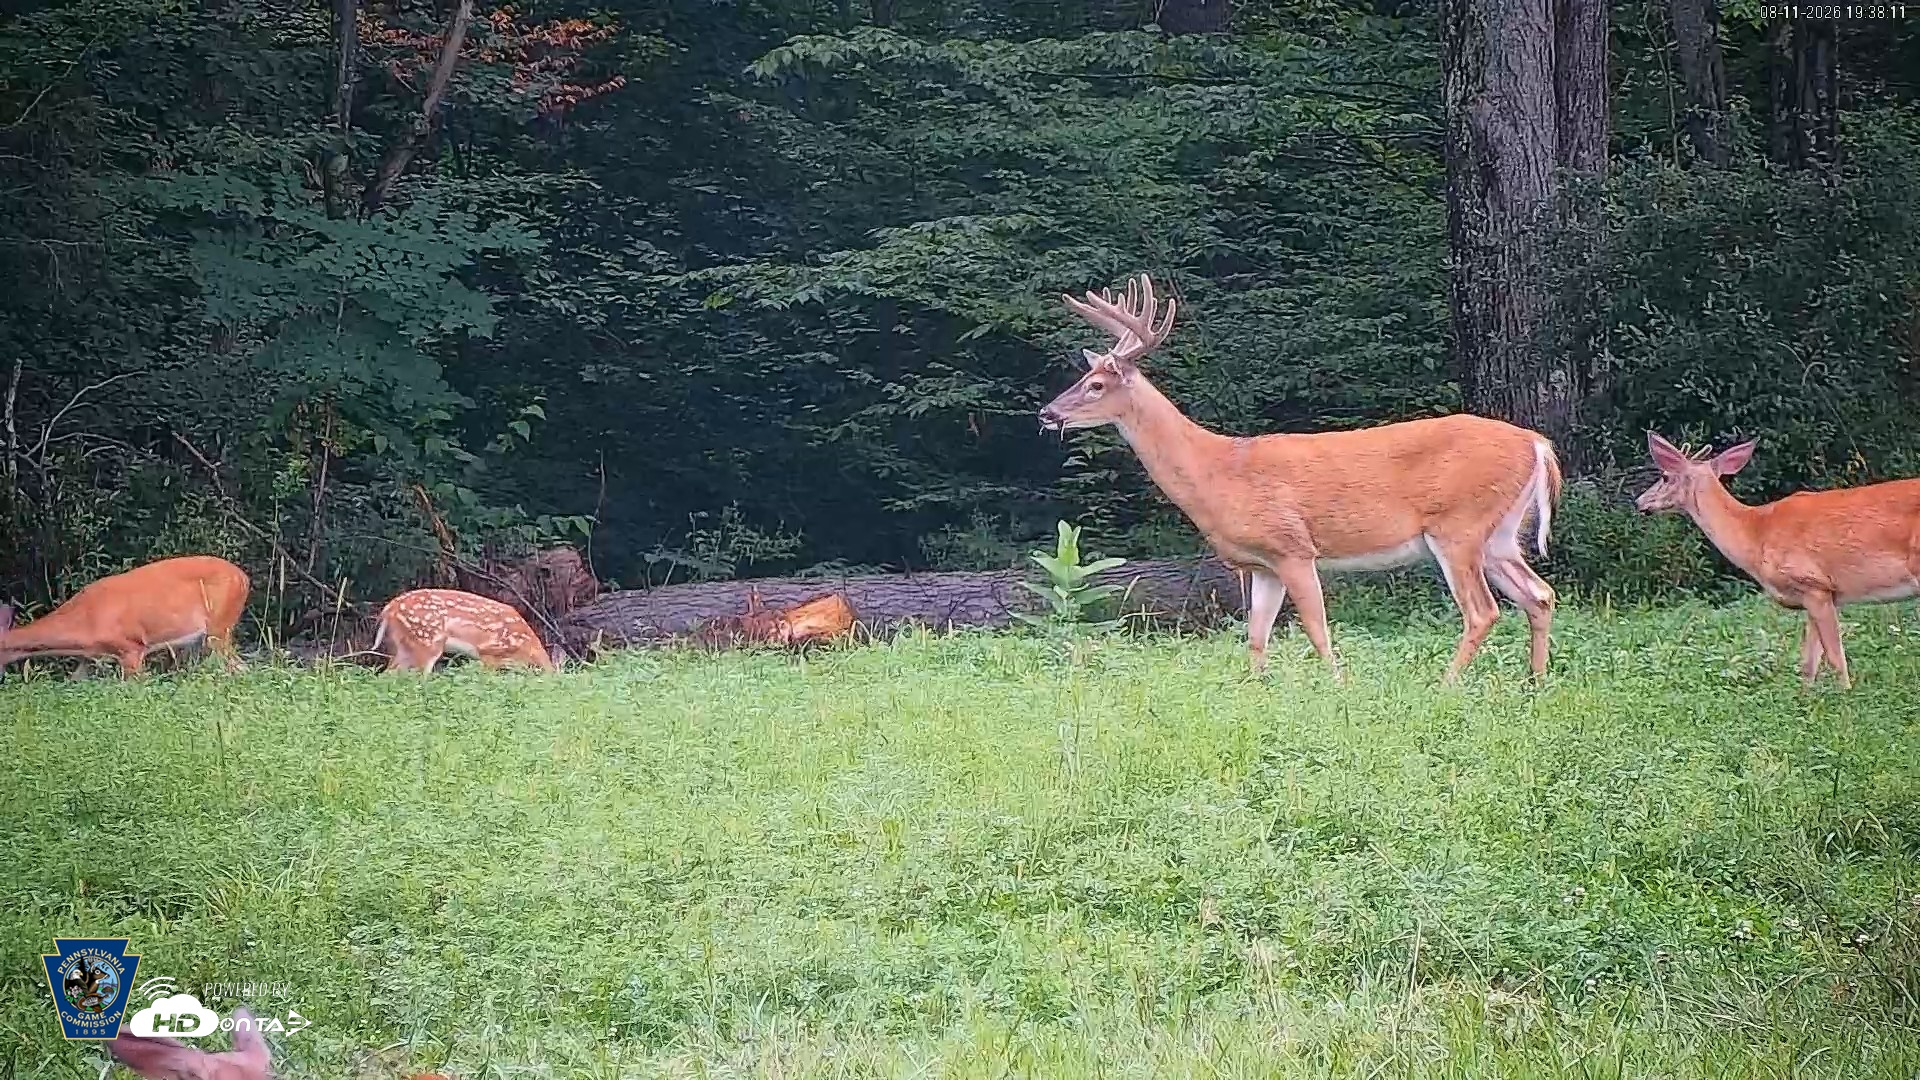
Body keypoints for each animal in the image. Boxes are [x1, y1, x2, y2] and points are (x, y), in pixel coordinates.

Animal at [1038, 273, 1562, 683]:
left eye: (1095, 385)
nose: (1047, 413)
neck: (1218, 470)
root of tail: (1537, 444)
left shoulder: (1292, 547)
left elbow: (1317, 629)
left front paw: (1338, 688)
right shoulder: (1262, 564)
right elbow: (1256, 638)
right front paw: (1255, 691)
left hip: (1459, 526)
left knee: (1483, 610)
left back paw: (1446, 684)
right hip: (1499, 534)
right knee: (1539, 595)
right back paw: (1534, 684)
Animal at [1637, 431, 1920, 689]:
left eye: (1665, 476)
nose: (1639, 501)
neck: (1755, 534)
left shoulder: (1812, 582)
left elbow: (1835, 658)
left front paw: (1846, 697)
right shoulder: (1821, 594)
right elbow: (1808, 664)